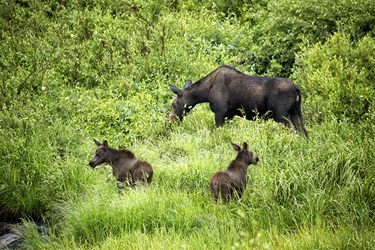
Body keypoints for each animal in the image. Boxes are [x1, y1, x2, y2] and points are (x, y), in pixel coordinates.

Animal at [169, 65, 310, 138]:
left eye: (173, 104)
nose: (169, 120)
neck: (205, 93)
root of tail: (297, 89)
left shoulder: (220, 112)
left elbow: (216, 132)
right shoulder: (229, 114)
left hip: (281, 115)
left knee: (294, 133)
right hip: (296, 112)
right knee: (304, 133)